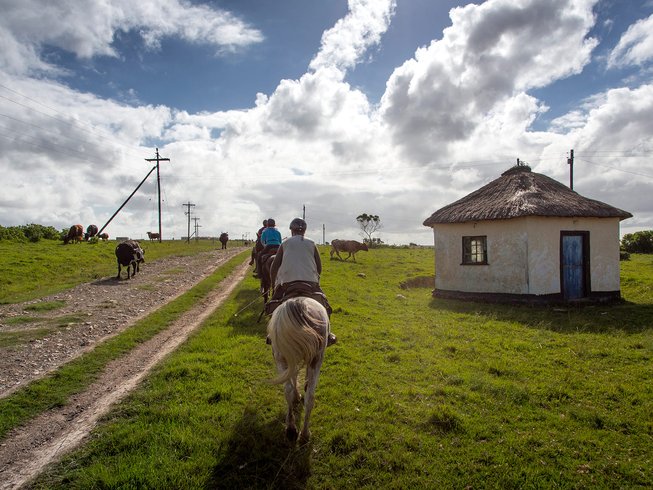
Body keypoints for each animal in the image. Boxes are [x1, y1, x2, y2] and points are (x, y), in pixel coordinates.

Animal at [264, 296, 328, 442]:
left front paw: (297, 396)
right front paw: (298, 396)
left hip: (282, 358)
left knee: (290, 389)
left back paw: (292, 429)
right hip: (315, 359)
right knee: (308, 394)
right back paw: (303, 432)